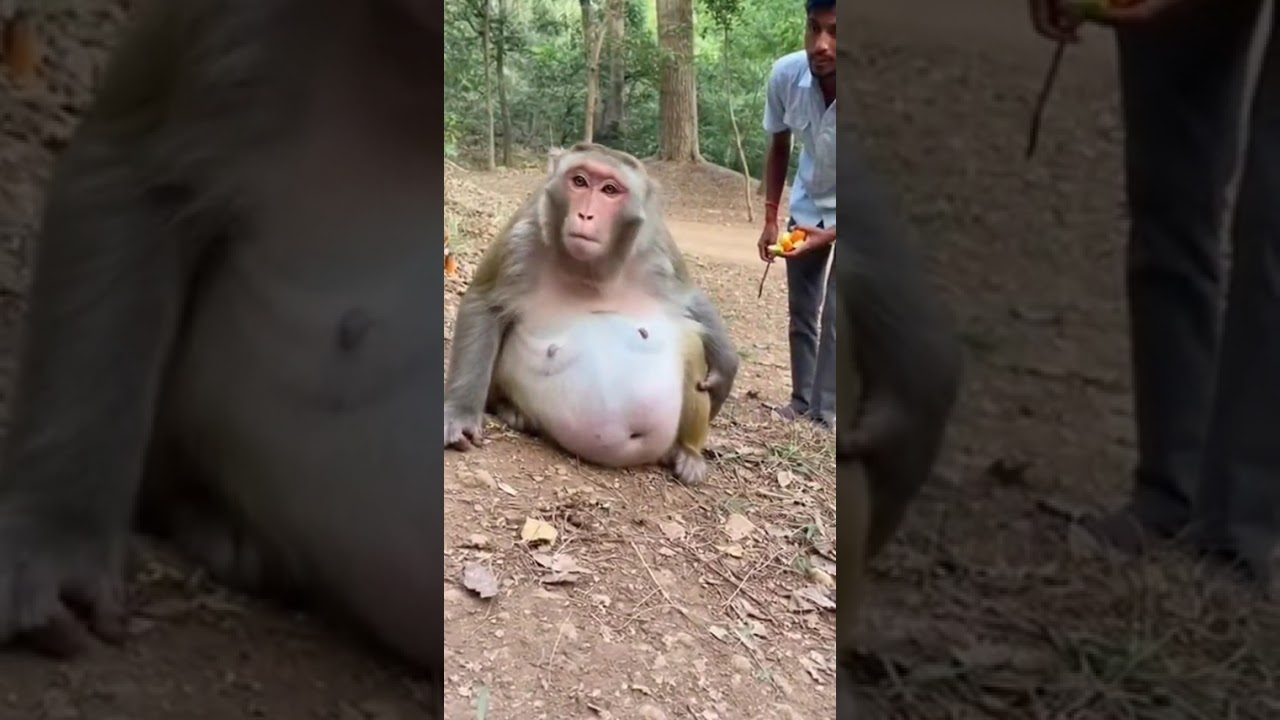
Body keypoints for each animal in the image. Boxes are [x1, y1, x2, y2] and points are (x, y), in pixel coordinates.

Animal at [442, 143, 737, 486]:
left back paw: (688, 453)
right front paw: (461, 413)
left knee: (689, 339)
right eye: (579, 181)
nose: (585, 214)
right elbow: (485, 303)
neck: (591, 271)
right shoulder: (522, 236)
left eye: (610, 190)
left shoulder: (657, 247)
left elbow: (690, 300)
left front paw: (726, 367)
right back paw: (511, 410)